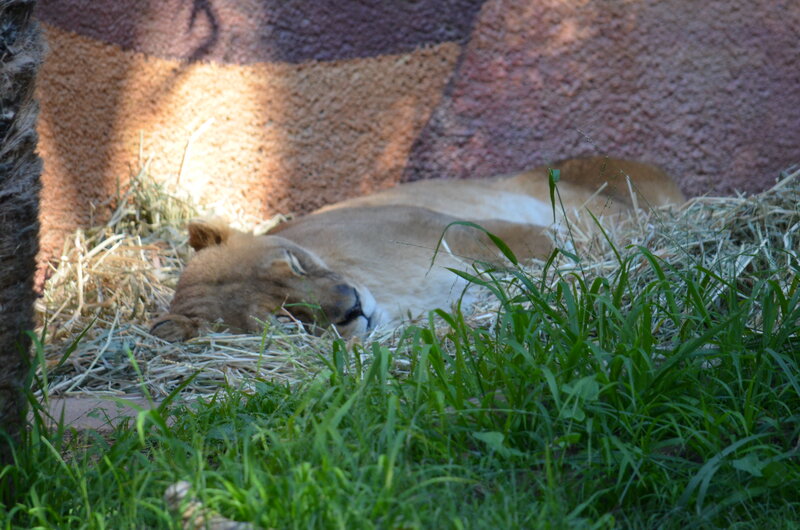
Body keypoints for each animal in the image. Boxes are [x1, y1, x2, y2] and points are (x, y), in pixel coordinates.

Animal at [150, 156, 684, 341]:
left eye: (296, 264)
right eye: (285, 319)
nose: (351, 308)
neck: (392, 299)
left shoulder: (451, 225)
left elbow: (540, 243)